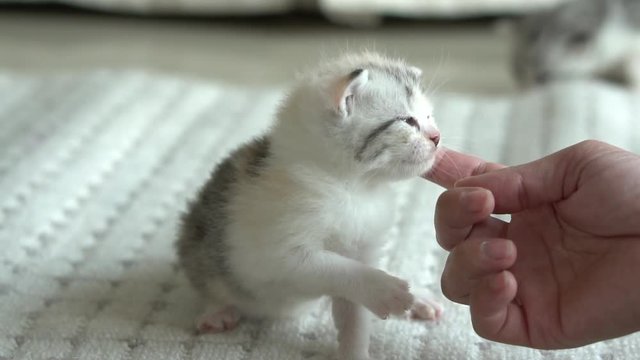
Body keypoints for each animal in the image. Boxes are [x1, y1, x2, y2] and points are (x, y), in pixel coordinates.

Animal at [178, 51, 442, 360]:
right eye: (407, 121)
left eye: (429, 116)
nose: (437, 137)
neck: (355, 186)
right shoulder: (282, 253)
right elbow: (338, 269)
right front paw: (384, 288)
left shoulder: (363, 246)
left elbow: (354, 312)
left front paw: (355, 350)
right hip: (199, 245)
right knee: (209, 281)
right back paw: (217, 312)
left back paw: (420, 299)